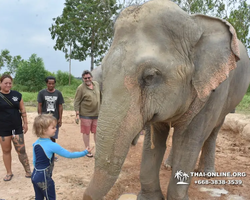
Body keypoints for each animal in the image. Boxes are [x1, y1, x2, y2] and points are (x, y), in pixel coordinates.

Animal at [83, 0, 250, 200]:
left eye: (150, 76)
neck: (193, 25)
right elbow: (155, 140)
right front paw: (150, 198)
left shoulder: (213, 90)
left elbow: (188, 141)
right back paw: (169, 166)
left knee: (213, 130)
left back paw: (207, 174)